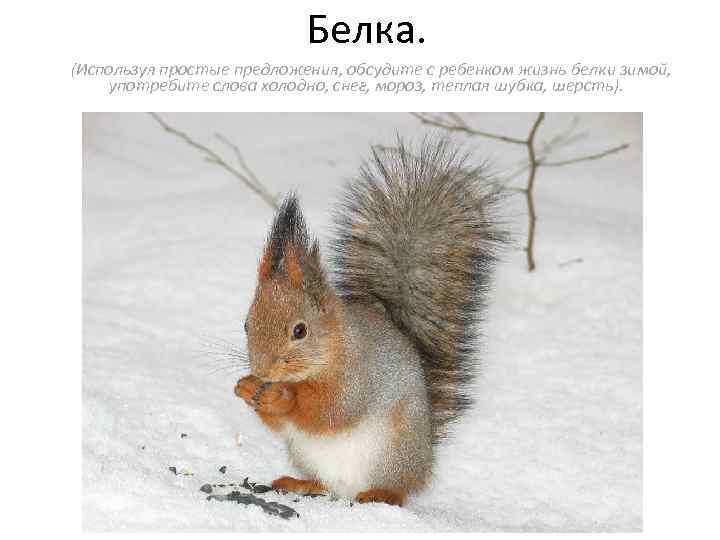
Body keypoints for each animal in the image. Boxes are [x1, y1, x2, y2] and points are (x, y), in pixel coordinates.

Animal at [234, 139, 504, 507]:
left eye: (300, 330)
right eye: (247, 324)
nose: (262, 371)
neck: (332, 348)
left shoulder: (360, 377)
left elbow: (331, 410)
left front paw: (283, 396)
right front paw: (246, 386)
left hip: (393, 453)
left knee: (397, 491)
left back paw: (380, 494)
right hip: (308, 456)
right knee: (326, 485)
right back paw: (301, 484)